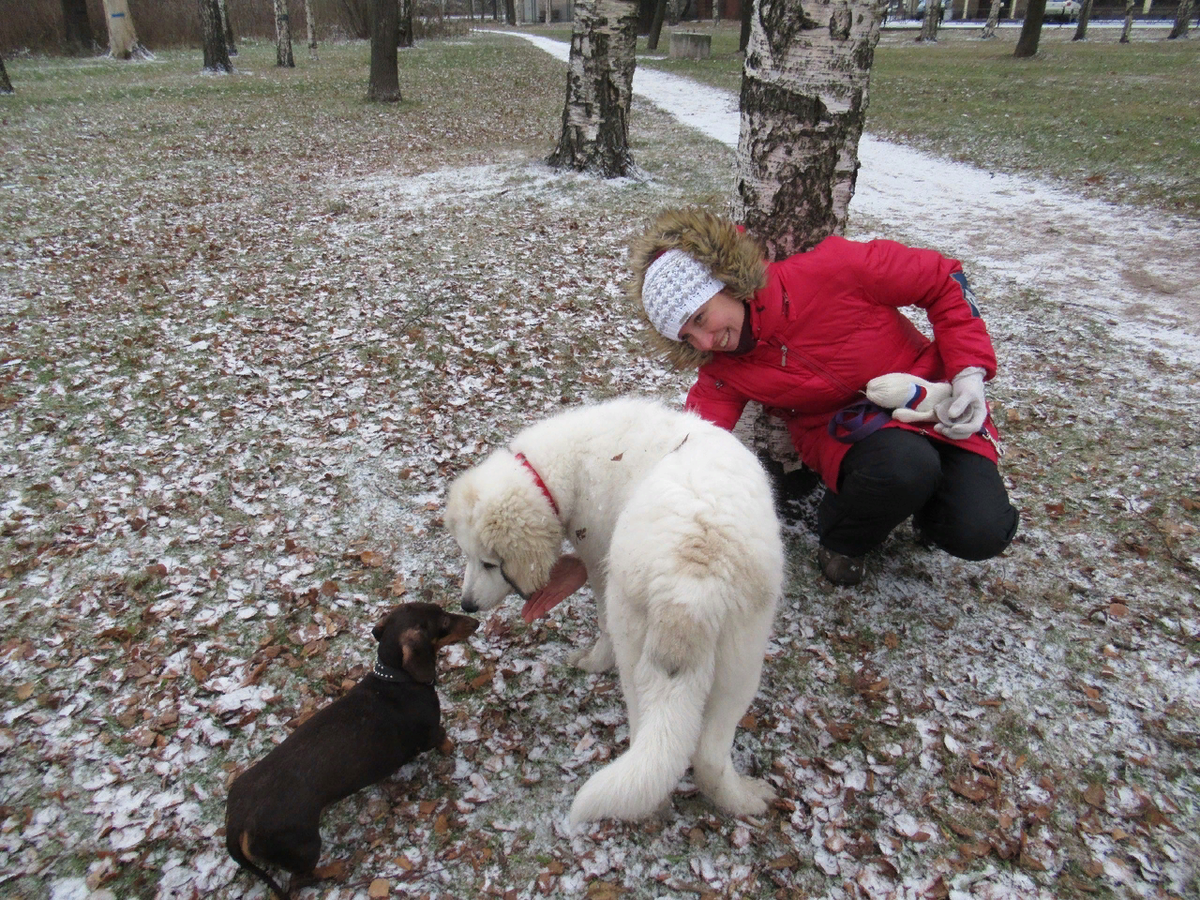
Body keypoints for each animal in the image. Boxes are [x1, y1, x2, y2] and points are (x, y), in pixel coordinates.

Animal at [446, 398, 782, 830]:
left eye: (490, 563)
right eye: (468, 556)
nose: (466, 605)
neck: (567, 466)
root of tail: (692, 582)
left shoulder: (598, 565)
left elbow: (602, 623)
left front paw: (591, 660)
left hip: (639, 640)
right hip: (742, 658)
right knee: (705, 756)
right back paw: (743, 801)